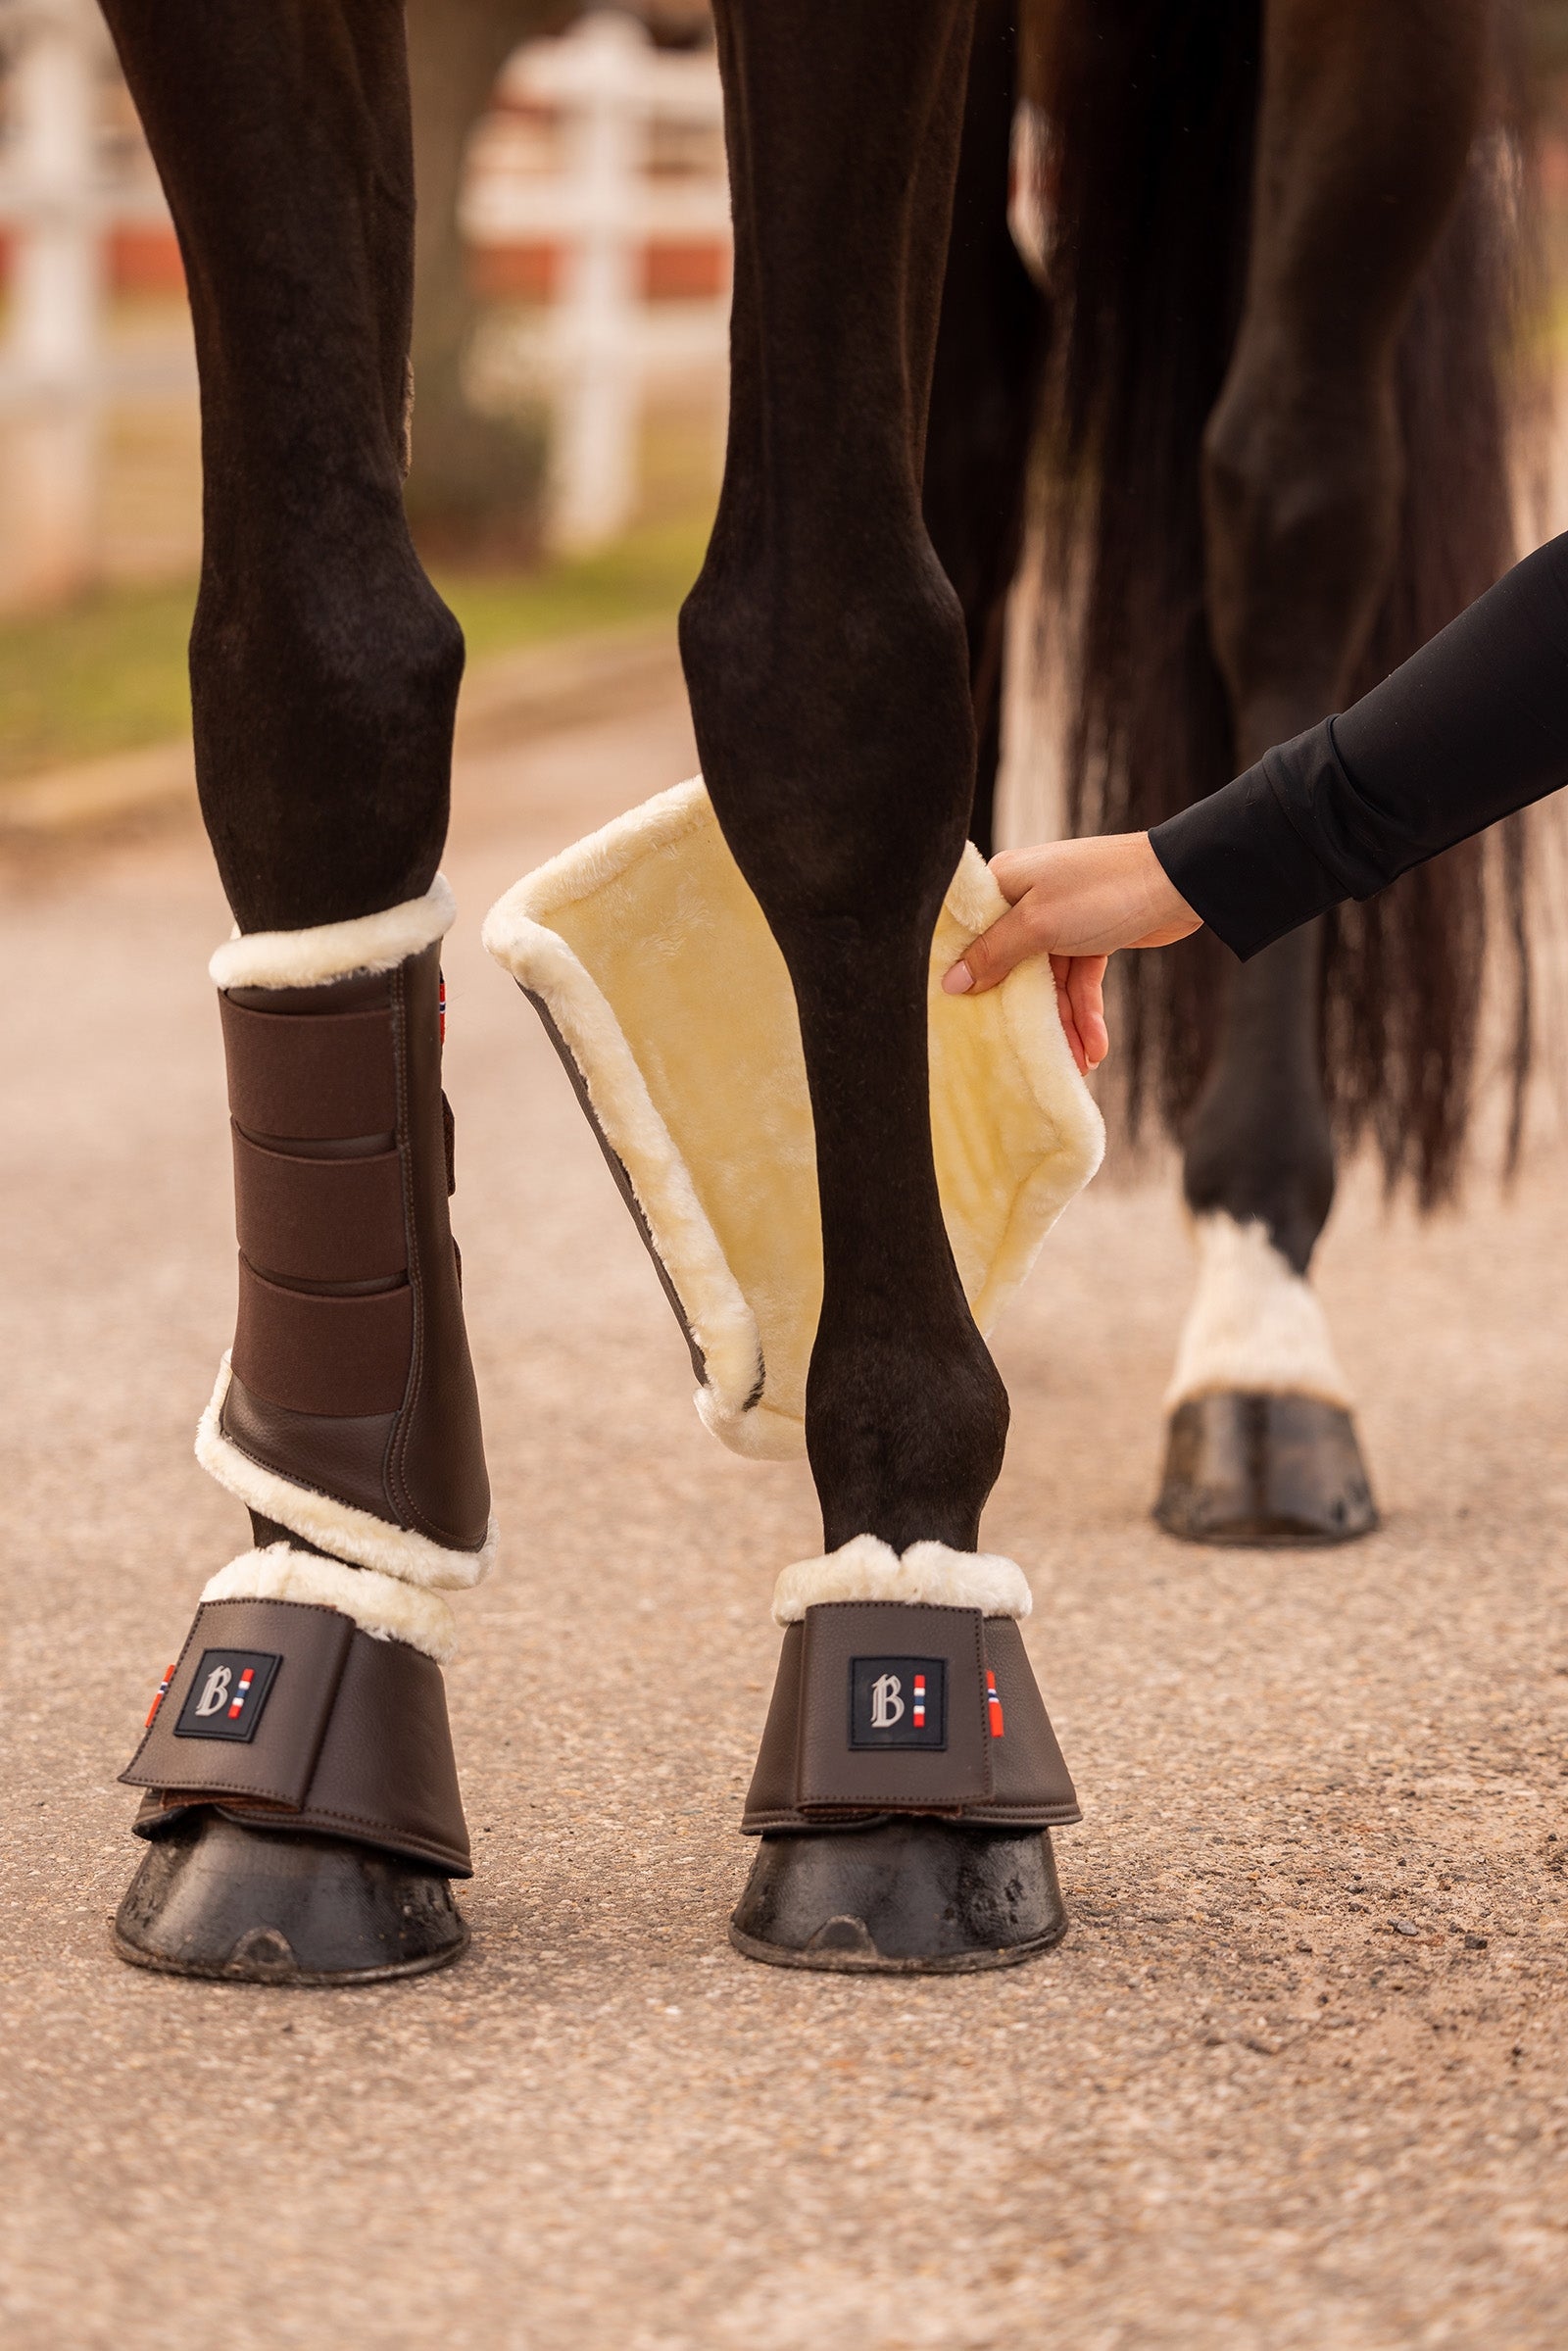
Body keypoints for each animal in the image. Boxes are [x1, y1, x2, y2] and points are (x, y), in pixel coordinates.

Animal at [103, 0, 1532, 1983]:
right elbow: (310, 660)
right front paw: (313, 1635)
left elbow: (829, 662)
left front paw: (904, 1625)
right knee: (987, 415)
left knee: (1291, 494)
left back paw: (1261, 1351)